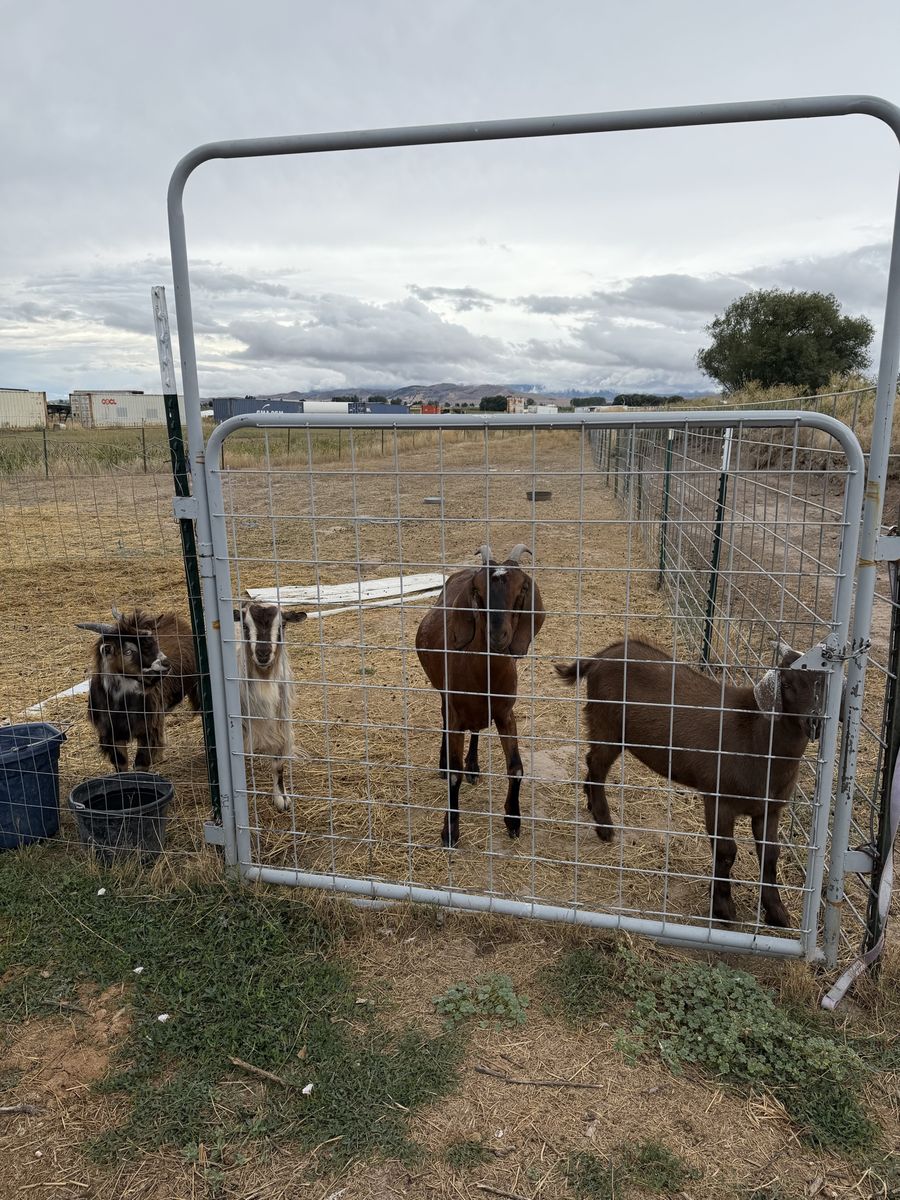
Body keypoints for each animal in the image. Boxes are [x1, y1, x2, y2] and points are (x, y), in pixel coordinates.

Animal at [76, 607, 199, 772]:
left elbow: (141, 764)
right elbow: (121, 765)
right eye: (128, 651)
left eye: (154, 641)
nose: (165, 664)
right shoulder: (111, 735)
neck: (121, 707)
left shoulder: (147, 730)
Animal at [233, 601, 307, 812]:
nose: (263, 654)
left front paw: (281, 799)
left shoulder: (280, 723)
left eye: (282, 625)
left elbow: (278, 764)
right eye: (245, 626)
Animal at [415, 544, 546, 847]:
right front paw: (450, 831)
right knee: (444, 718)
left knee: (475, 729)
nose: (498, 636)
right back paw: (444, 763)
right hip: (445, 695)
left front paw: (513, 821)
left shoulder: (505, 713)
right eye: (478, 592)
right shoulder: (455, 711)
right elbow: (454, 776)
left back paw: (473, 765)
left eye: (521, 589)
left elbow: (516, 768)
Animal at [555, 639, 832, 928]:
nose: (815, 722)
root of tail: (602, 656)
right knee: (596, 765)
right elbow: (726, 851)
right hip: (607, 724)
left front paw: (777, 912)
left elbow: (770, 855)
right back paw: (604, 826)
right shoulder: (719, 799)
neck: (758, 738)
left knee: (592, 762)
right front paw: (723, 908)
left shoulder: (769, 809)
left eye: (826, 682)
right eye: (786, 683)